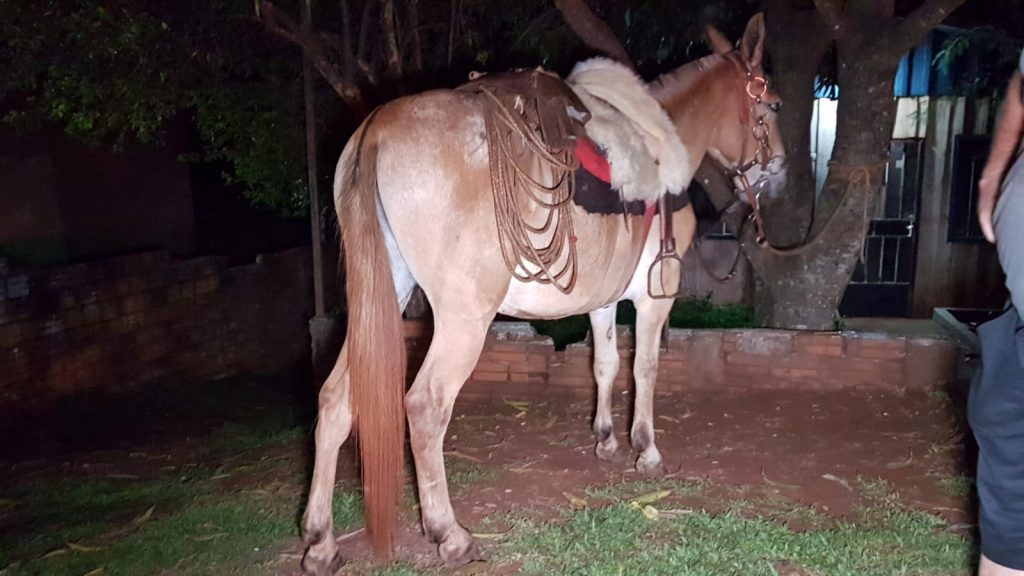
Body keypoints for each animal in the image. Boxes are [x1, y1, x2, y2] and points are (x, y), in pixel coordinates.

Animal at [299, 13, 787, 575]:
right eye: (773, 104)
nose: (778, 174)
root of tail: (376, 128)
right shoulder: (655, 297)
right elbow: (644, 367)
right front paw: (645, 449)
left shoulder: (603, 298)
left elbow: (604, 364)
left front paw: (605, 439)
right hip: (464, 317)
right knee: (424, 407)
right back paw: (449, 533)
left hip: (379, 301)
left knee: (335, 400)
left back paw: (320, 538)